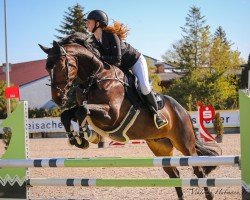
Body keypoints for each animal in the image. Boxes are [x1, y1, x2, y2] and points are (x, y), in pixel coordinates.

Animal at [39, 33, 219, 199]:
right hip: (160, 147)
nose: (58, 98)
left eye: (62, 66)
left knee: (198, 170)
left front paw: (86, 136)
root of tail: (183, 111)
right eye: (47, 68)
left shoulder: (111, 114)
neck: (96, 76)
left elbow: (82, 110)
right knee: (174, 174)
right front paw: (78, 140)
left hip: (185, 144)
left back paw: (209, 194)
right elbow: (67, 114)